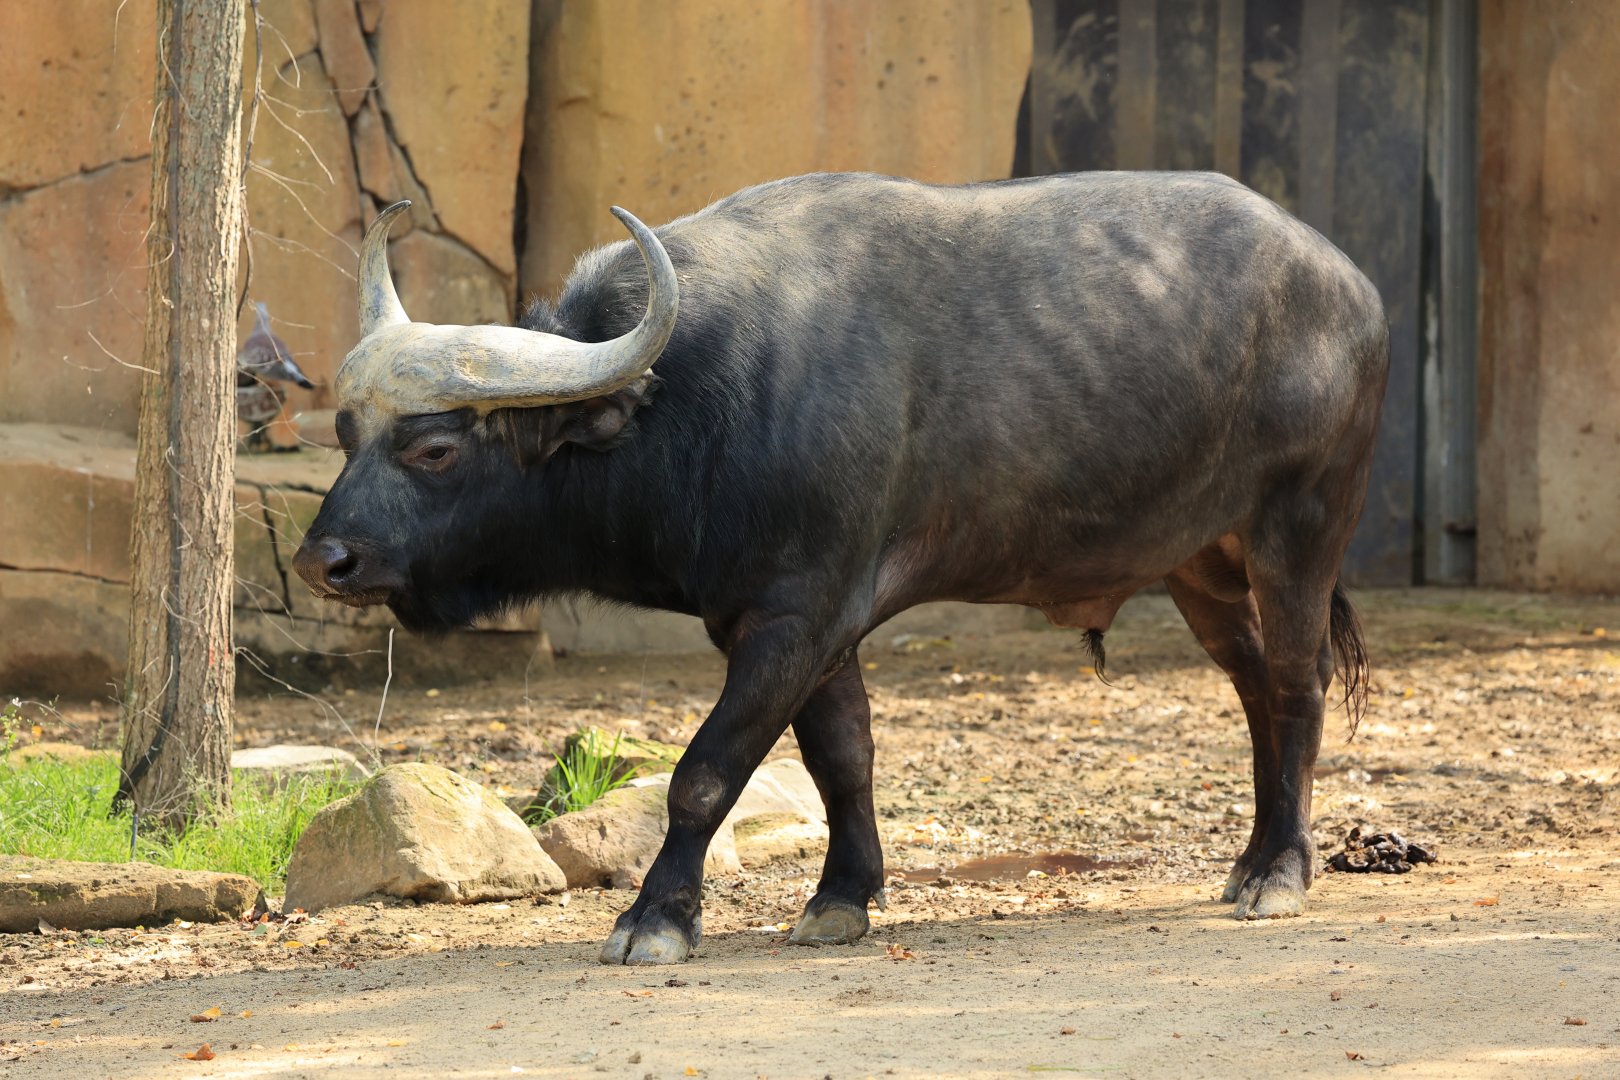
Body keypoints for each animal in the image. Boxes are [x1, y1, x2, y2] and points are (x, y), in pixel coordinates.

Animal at [294, 171, 1385, 965]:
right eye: (348, 433)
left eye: (436, 448)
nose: (322, 559)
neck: (694, 397)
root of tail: (1350, 286)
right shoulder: (801, 624)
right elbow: (842, 758)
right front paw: (841, 898)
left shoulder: (796, 615)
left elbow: (706, 772)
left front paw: (657, 919)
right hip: (1201, 563)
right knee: (1255, 689)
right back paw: (1251, 860)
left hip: (1302, 524)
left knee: (1298, 684)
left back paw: (1282, 874)